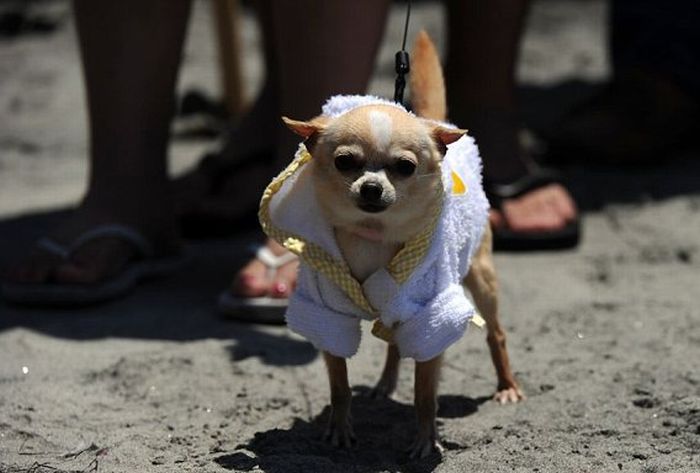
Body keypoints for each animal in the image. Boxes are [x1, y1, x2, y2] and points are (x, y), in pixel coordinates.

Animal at [274, 32, 524, 458]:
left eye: (405, 167)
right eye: (344, 162)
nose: (372, 187)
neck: (372, 234)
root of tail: (436, 125)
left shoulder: (432, 317)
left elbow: (425, 394)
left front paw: (425, 440)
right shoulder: (328, 314)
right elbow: (339, 386)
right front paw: (339, 427)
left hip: (481, 278)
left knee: (496, 333)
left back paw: (506, 385)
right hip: (396, 304)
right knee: (393, 343)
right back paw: (385, 384)